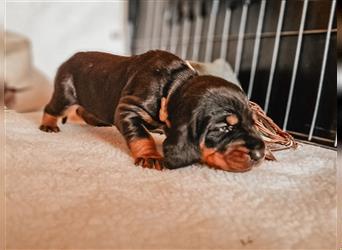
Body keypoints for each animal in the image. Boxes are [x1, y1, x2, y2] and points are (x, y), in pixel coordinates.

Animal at [39, 50, 264, 172]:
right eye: (224, 128)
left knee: (85, 112)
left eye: (252, 123)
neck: (174, 85)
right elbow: (142, 136)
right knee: (52, 108)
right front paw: (150, 157)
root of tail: (69, 59)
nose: (260, 154)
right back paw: (48, 125)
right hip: (65, 93)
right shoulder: (128, 110)